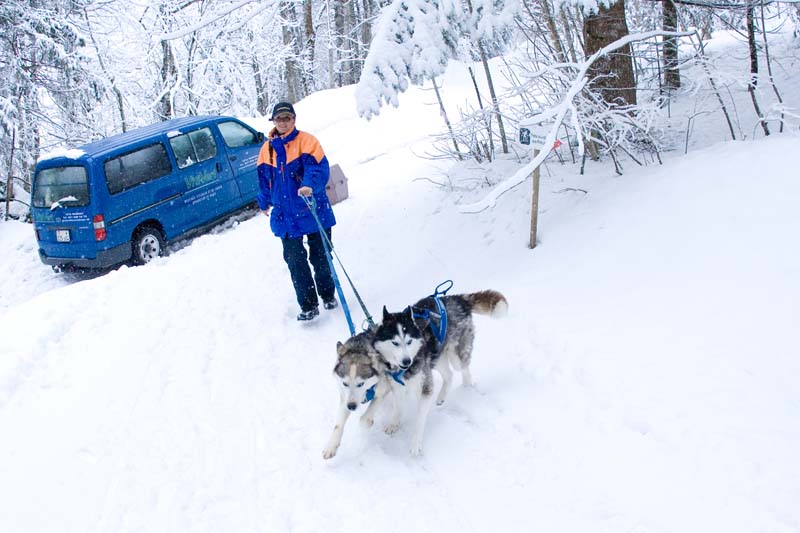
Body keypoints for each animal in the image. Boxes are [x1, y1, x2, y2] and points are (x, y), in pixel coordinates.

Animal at [322, 331, 394, 460]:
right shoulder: (344, 399)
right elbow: (338, 425)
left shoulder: (382, 391)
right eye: (345, 383)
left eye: (361, 384)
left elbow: (364, 419)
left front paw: (368, 423)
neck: (359, 348)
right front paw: (331, 446)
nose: (351, 407)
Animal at [372, 289, 508, 455]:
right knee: (449, 375)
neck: (404, 370)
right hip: (436, 358)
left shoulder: (425, 388)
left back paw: (467, 387)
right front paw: (394, 424)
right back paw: (442, 396)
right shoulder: (397, 386)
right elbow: (397, 408)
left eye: (409, 341)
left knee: (463, 369)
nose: (406, 361)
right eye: (395, 343)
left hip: (455, 356)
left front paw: (415, 444)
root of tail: (457, 298)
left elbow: (419, 419)